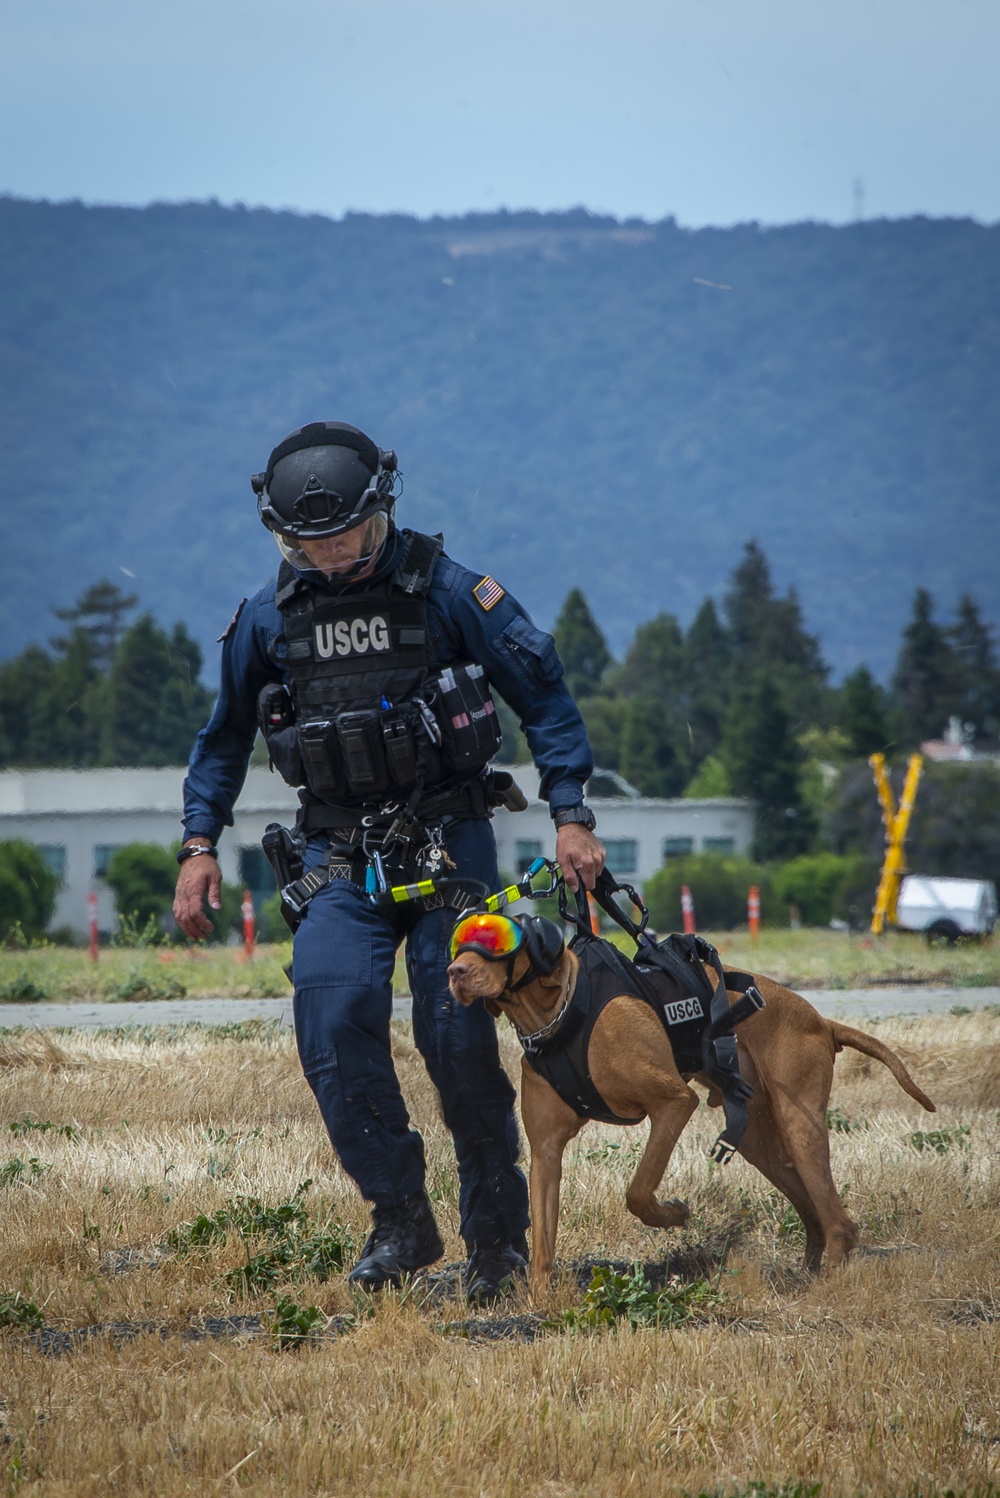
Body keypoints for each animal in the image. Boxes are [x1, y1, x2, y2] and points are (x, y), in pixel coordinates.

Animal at [449, 910, 934, 1300]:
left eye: (496, 941)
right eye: (460, 939)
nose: (454, 971)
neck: (560, 1016)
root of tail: (822, 1020)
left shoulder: (673, 1102)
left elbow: (638, 1190)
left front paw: (674, 1214)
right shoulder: (546, 1151)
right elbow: (543, 1241)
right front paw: (538, 1299)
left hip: (799, 1124)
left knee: (838, 1221)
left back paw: (828, 1279)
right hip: (759, 1139)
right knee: (811, 1209)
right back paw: (806, 1272)